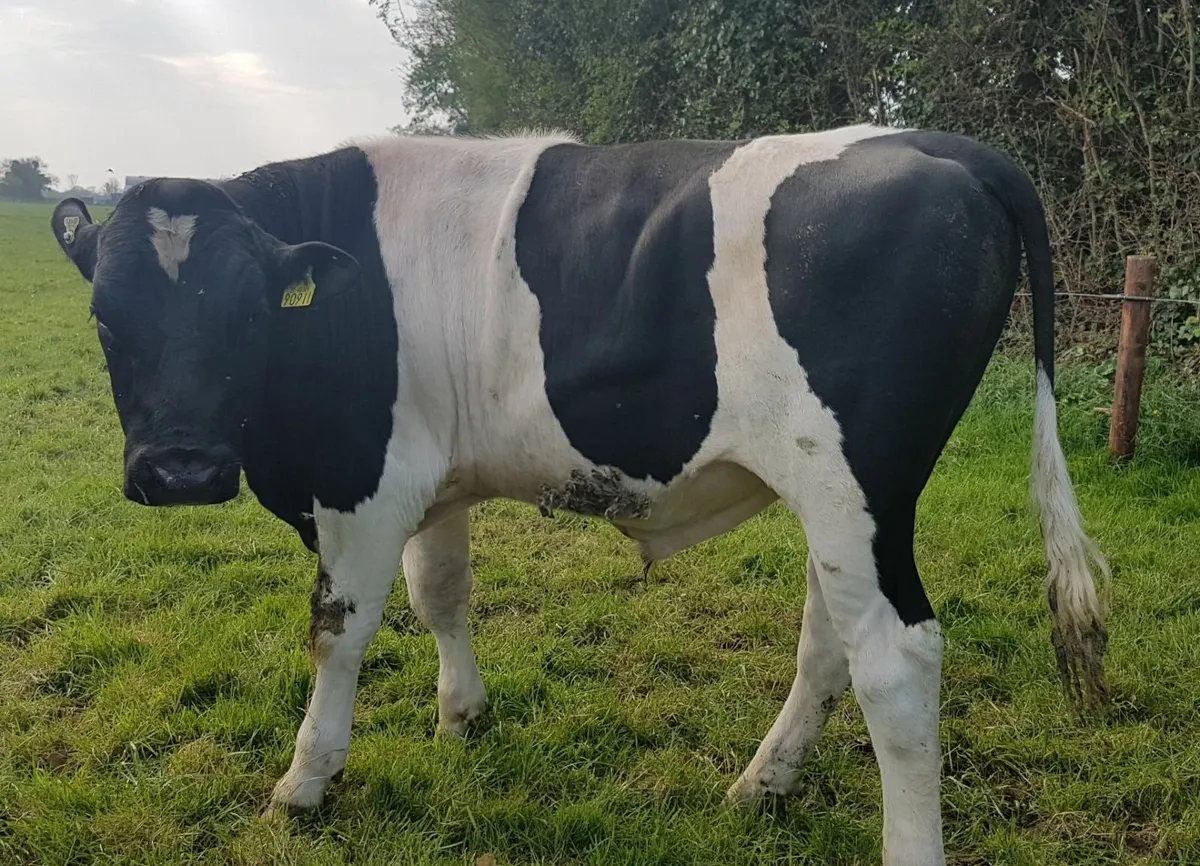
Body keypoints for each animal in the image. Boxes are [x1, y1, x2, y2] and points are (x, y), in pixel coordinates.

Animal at [50, 123, 1109, 864]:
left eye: (246, 313)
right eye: (103, 316)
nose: (181, 470)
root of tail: (946, 144)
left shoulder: (361, 480)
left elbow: (337, 631)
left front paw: (306, 780)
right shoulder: (435, 480)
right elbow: (442, 594)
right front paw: (462, 715)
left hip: (859, 484)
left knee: (895, 660)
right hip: (841, 502)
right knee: (830, 641)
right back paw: (762, 782)